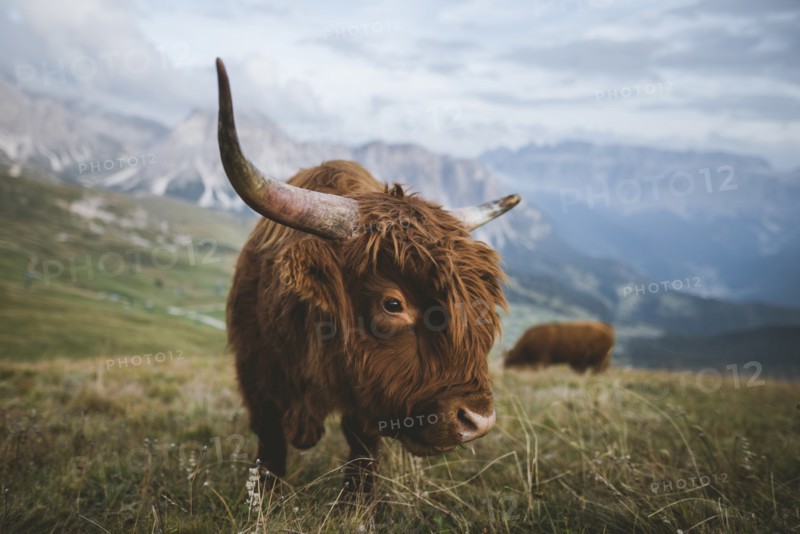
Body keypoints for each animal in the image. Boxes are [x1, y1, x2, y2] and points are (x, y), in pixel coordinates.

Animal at [215, 58, 520, 495]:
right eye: (393, 304)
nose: (477, 420)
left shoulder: (366, 403)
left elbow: (362, 449)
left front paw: (358, 502)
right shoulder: (257, 378)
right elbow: (270, 449)